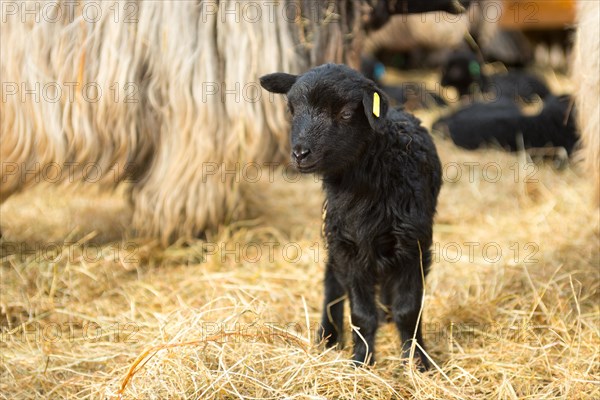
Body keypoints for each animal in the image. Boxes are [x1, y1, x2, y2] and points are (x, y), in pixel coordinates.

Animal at [260, 63, 442, 372]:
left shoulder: (413, 245)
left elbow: (408, 310)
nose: (300, 153)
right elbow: (360, 313)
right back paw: (329, 335)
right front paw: (361, 361)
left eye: (345, 113)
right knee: (332, 283)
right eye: (292, 110)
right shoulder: (348, 246)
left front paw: (417, 363)